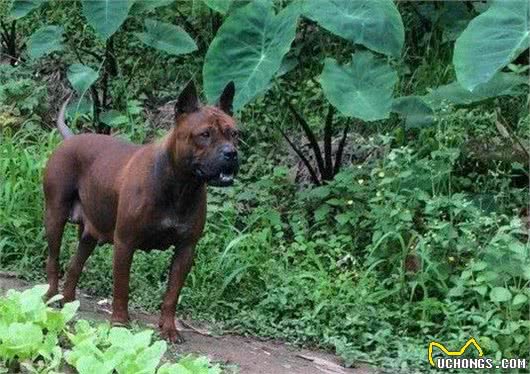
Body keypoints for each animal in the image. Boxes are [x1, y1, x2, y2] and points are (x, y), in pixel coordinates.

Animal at [43, 82, 237, 342]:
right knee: (53, 260)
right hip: (55, 216)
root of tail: (70, 139)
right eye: (204, 135)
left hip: (90, 234)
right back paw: (50, 297)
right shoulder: (125, 243)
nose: (231, 153)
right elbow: (122, 287)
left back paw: (68, 302)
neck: (180, 185)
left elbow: (172, 294)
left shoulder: (186, 249)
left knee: (75, 264)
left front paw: (169, 329)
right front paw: (119, 324)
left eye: (234, 134)